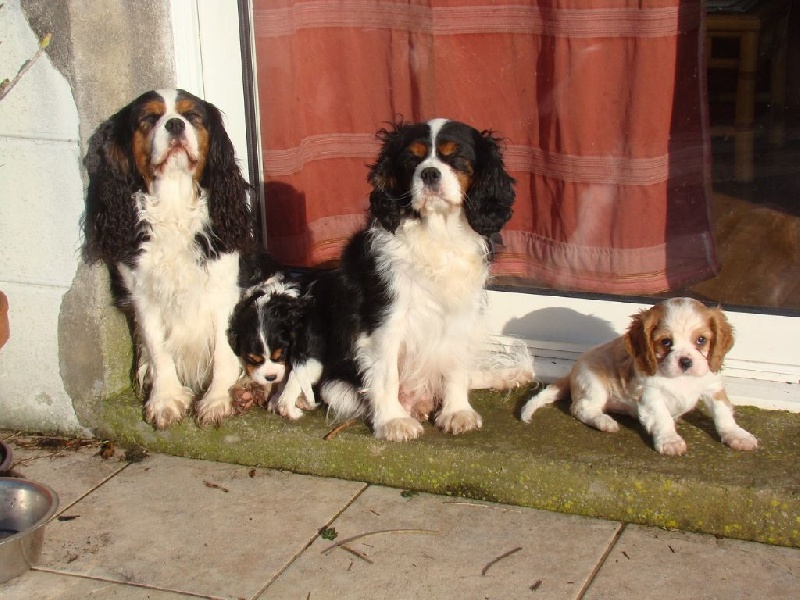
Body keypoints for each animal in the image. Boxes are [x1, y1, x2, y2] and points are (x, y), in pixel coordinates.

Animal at [85, 88, 255, 426]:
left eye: (192, 116)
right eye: (149, 118)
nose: (175, 124)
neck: (174, 206)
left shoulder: (226, 289)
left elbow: (223, 348)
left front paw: (217, 399)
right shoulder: (142, 294)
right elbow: (156, 346)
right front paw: (165, 399)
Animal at [228, 119, 516, 442]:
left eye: (456, 158)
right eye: (412, 160)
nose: (429, 173)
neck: (436, 233)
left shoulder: (461, 311)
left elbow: (455, 363)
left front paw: (456, 411)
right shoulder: (386, 317)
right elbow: (387, 373)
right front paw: (392, 421)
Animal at [520, 298, 756, 458]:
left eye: (701, 340)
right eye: (666, 342)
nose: (685, 361)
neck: (680, 379)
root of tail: (572, 371)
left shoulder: (712, 386)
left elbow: (723, 414)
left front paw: (737, 435)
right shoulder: (650, 394)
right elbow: (662, 417)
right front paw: (670, 440)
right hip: (594, 383)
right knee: (581, 408)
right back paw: (604, 421)